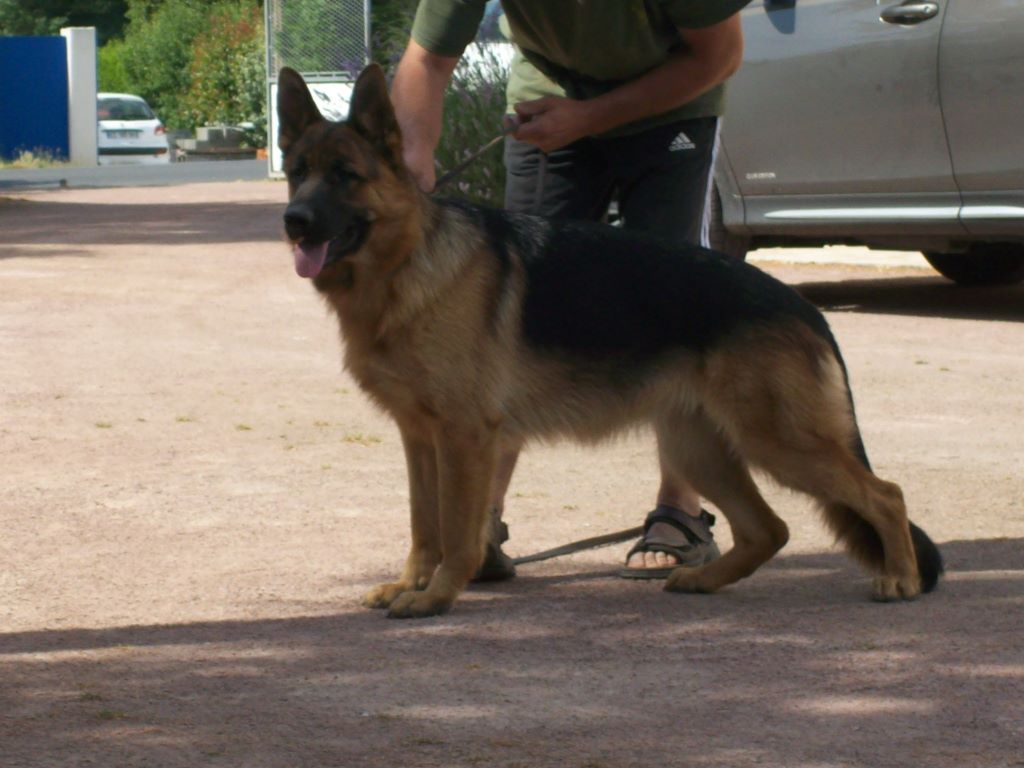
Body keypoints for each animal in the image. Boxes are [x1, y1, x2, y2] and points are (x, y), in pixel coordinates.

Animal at [274, 64, 942, 618]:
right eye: (299, 174)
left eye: (346, 177)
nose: (293, 222)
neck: (407, 265)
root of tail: (804, 305)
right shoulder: (420, 438)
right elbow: (423, 524)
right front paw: (411, 583)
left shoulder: (465, 436)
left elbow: (457, 532)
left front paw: (437, 595)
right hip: (699, 448)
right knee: (769, 529)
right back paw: (704, 580)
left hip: (778, 442)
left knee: (886, 495)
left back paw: (902, 580)